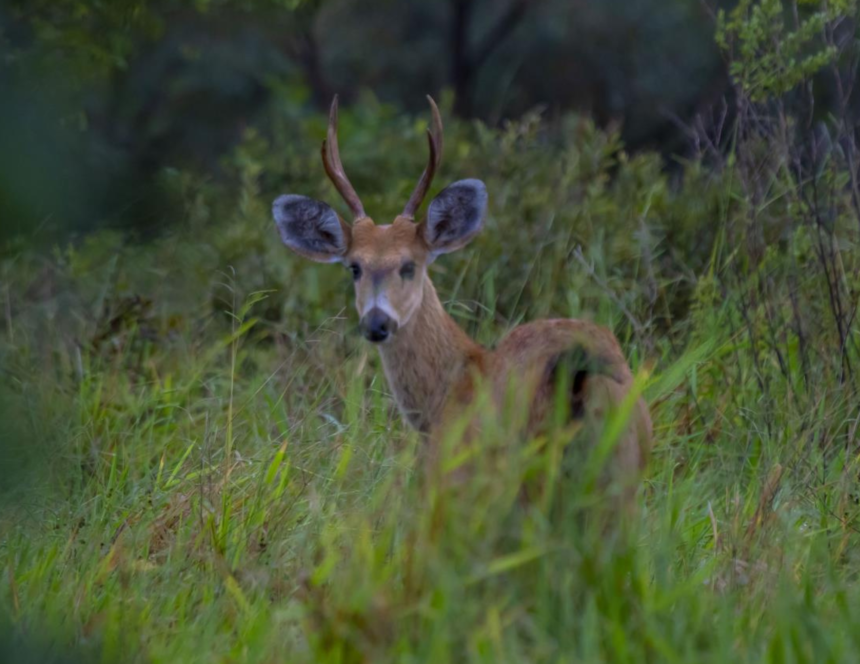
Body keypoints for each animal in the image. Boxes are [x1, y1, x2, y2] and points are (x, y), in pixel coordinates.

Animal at [274, 96, 652, 496]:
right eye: (354, 267)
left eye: (409, 265)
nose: (376, 323)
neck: (450, 389)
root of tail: (576, 369)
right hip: (622, 462)